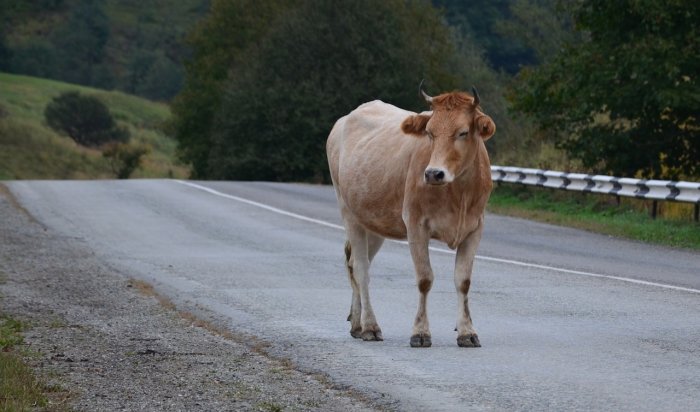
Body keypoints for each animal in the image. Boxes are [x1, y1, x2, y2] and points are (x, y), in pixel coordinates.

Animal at [326, 83, 494, 348]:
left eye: (463, 132)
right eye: (430, 132)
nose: (434, 173)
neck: (459, 193)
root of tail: (346, 118)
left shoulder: (475, 228)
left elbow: (463, 281)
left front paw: (467, 332)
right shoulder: (416, 224)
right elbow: (425, 279)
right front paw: (420, 332)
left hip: (374, 221)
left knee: (355, 264)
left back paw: (357, 323)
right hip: (348, 212)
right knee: (362, 269)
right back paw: (370, 326)